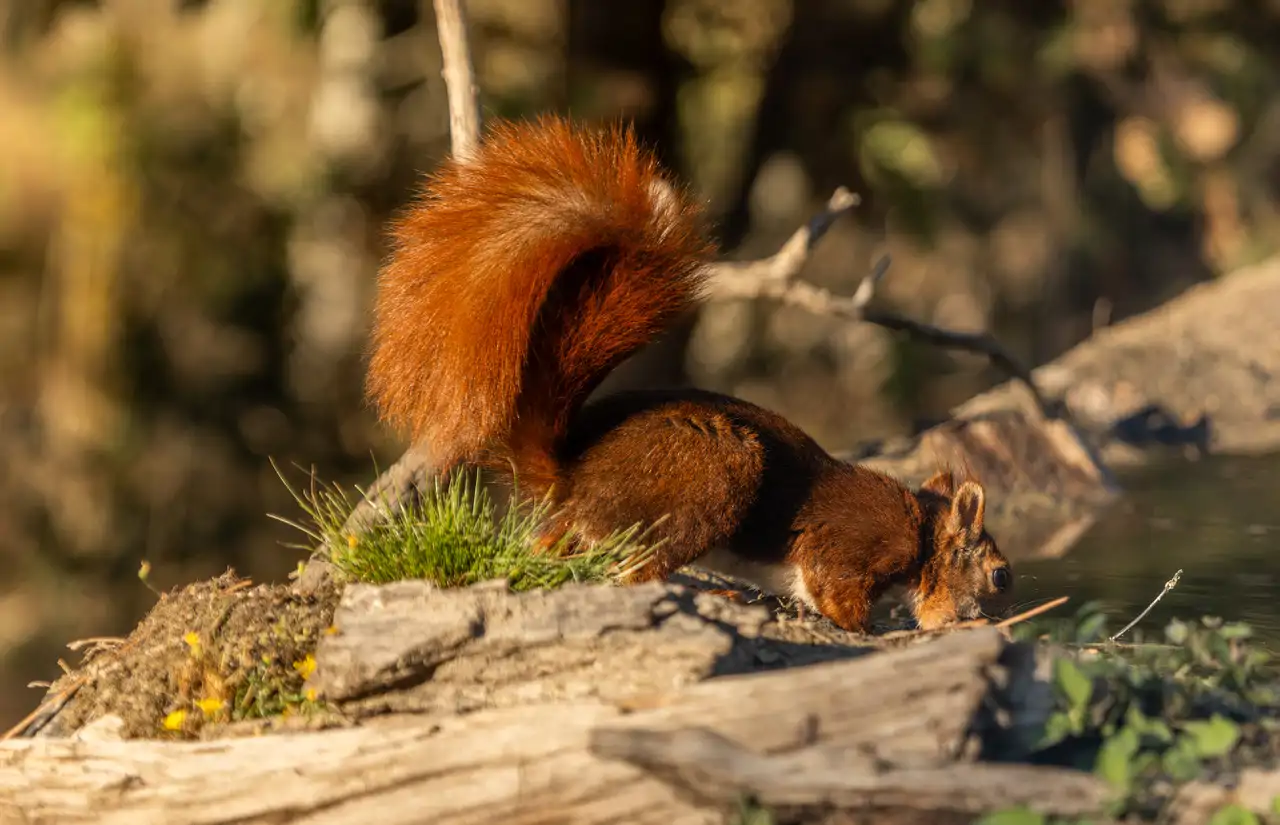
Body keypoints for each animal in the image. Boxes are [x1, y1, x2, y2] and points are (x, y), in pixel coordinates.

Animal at [365, 115, 1012, 633]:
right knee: (634, 571)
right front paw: (870, 628)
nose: (993, 615)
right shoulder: (856, 546)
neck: (922, 534)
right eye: (1001, 575)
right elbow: (837, 595)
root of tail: (573, 476)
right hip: (713, 474)